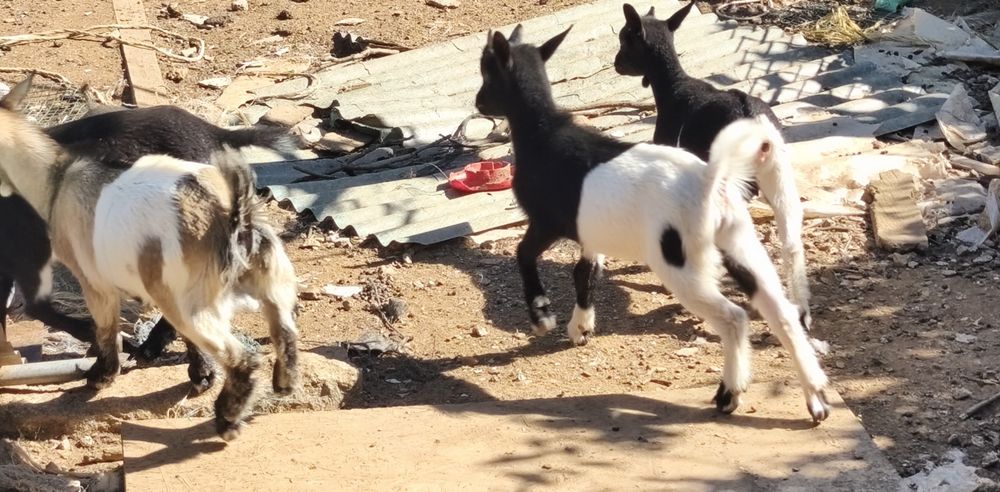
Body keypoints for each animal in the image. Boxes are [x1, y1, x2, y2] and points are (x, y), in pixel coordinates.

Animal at [0, 77, 299, 439]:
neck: (54, 175)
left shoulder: (91, 280)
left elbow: (100, 328)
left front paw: (101, 372)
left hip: (184, 296)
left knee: (236, 353)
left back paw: (224, 413)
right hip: (270, 278)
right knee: (283, 329)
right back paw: (277, 382)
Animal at [613, 1, 812, 329]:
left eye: (625, 38)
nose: (616, 64)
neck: (674, 87)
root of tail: (753, 121)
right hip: (779, 174)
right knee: (791, 241)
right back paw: (802, 311)